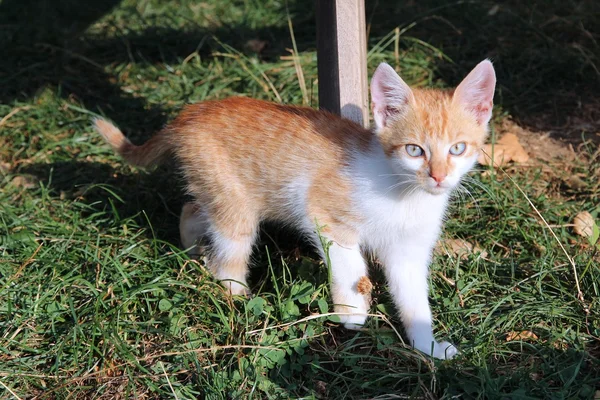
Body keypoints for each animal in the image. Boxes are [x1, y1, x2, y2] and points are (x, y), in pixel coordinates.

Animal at [95, 59, 496, 360]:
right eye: (415, 150)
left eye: (457, 148)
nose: (438, 176)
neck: (404, 196)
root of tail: (188, 113)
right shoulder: (321, 210)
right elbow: (348, 263)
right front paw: (352, 311)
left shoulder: (408, 252)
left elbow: (414, 300)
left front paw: (428, 346)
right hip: (236, 208)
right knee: (227, 257)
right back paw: (239, 302)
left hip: (217, 190)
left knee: (192, 209)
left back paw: (193, 248)